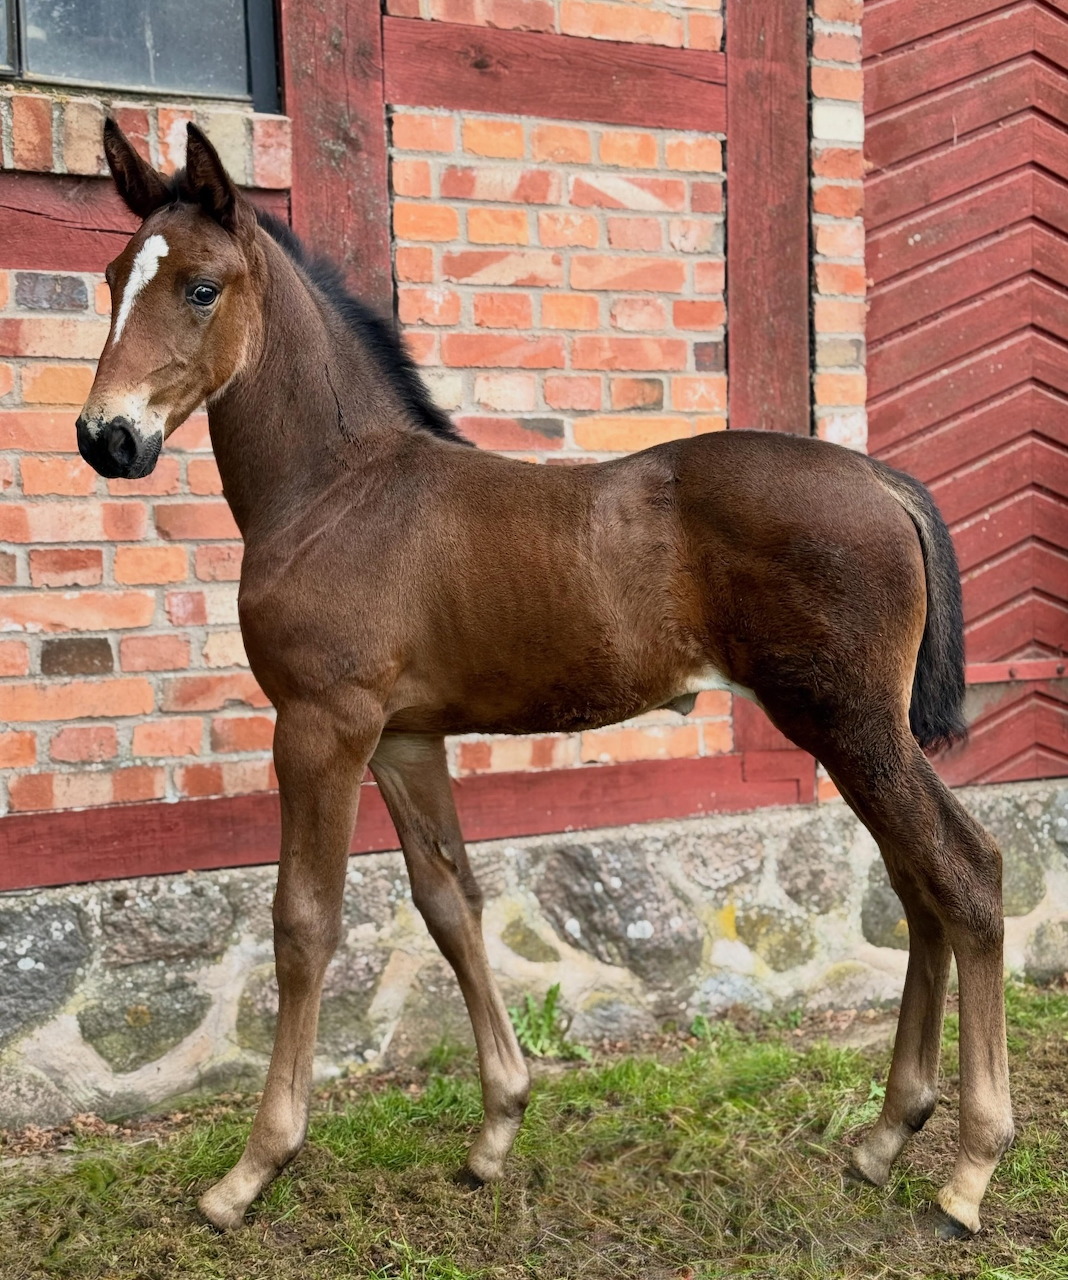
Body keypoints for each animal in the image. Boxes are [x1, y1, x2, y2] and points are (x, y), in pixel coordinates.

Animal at [74, 120, 1012, 1239]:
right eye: (112, 276)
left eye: (203, 287)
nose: (106, 437)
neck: (338, 489)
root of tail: (881, 477)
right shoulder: (402, 736)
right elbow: (452, 900)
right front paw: (496, 1128)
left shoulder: (321, 723)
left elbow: (304, 922)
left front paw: (250, 1170)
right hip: (850, 730)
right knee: (919, 886)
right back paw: (883, 1136)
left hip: (852, 723)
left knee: (966, 873)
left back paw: (969, 1169)